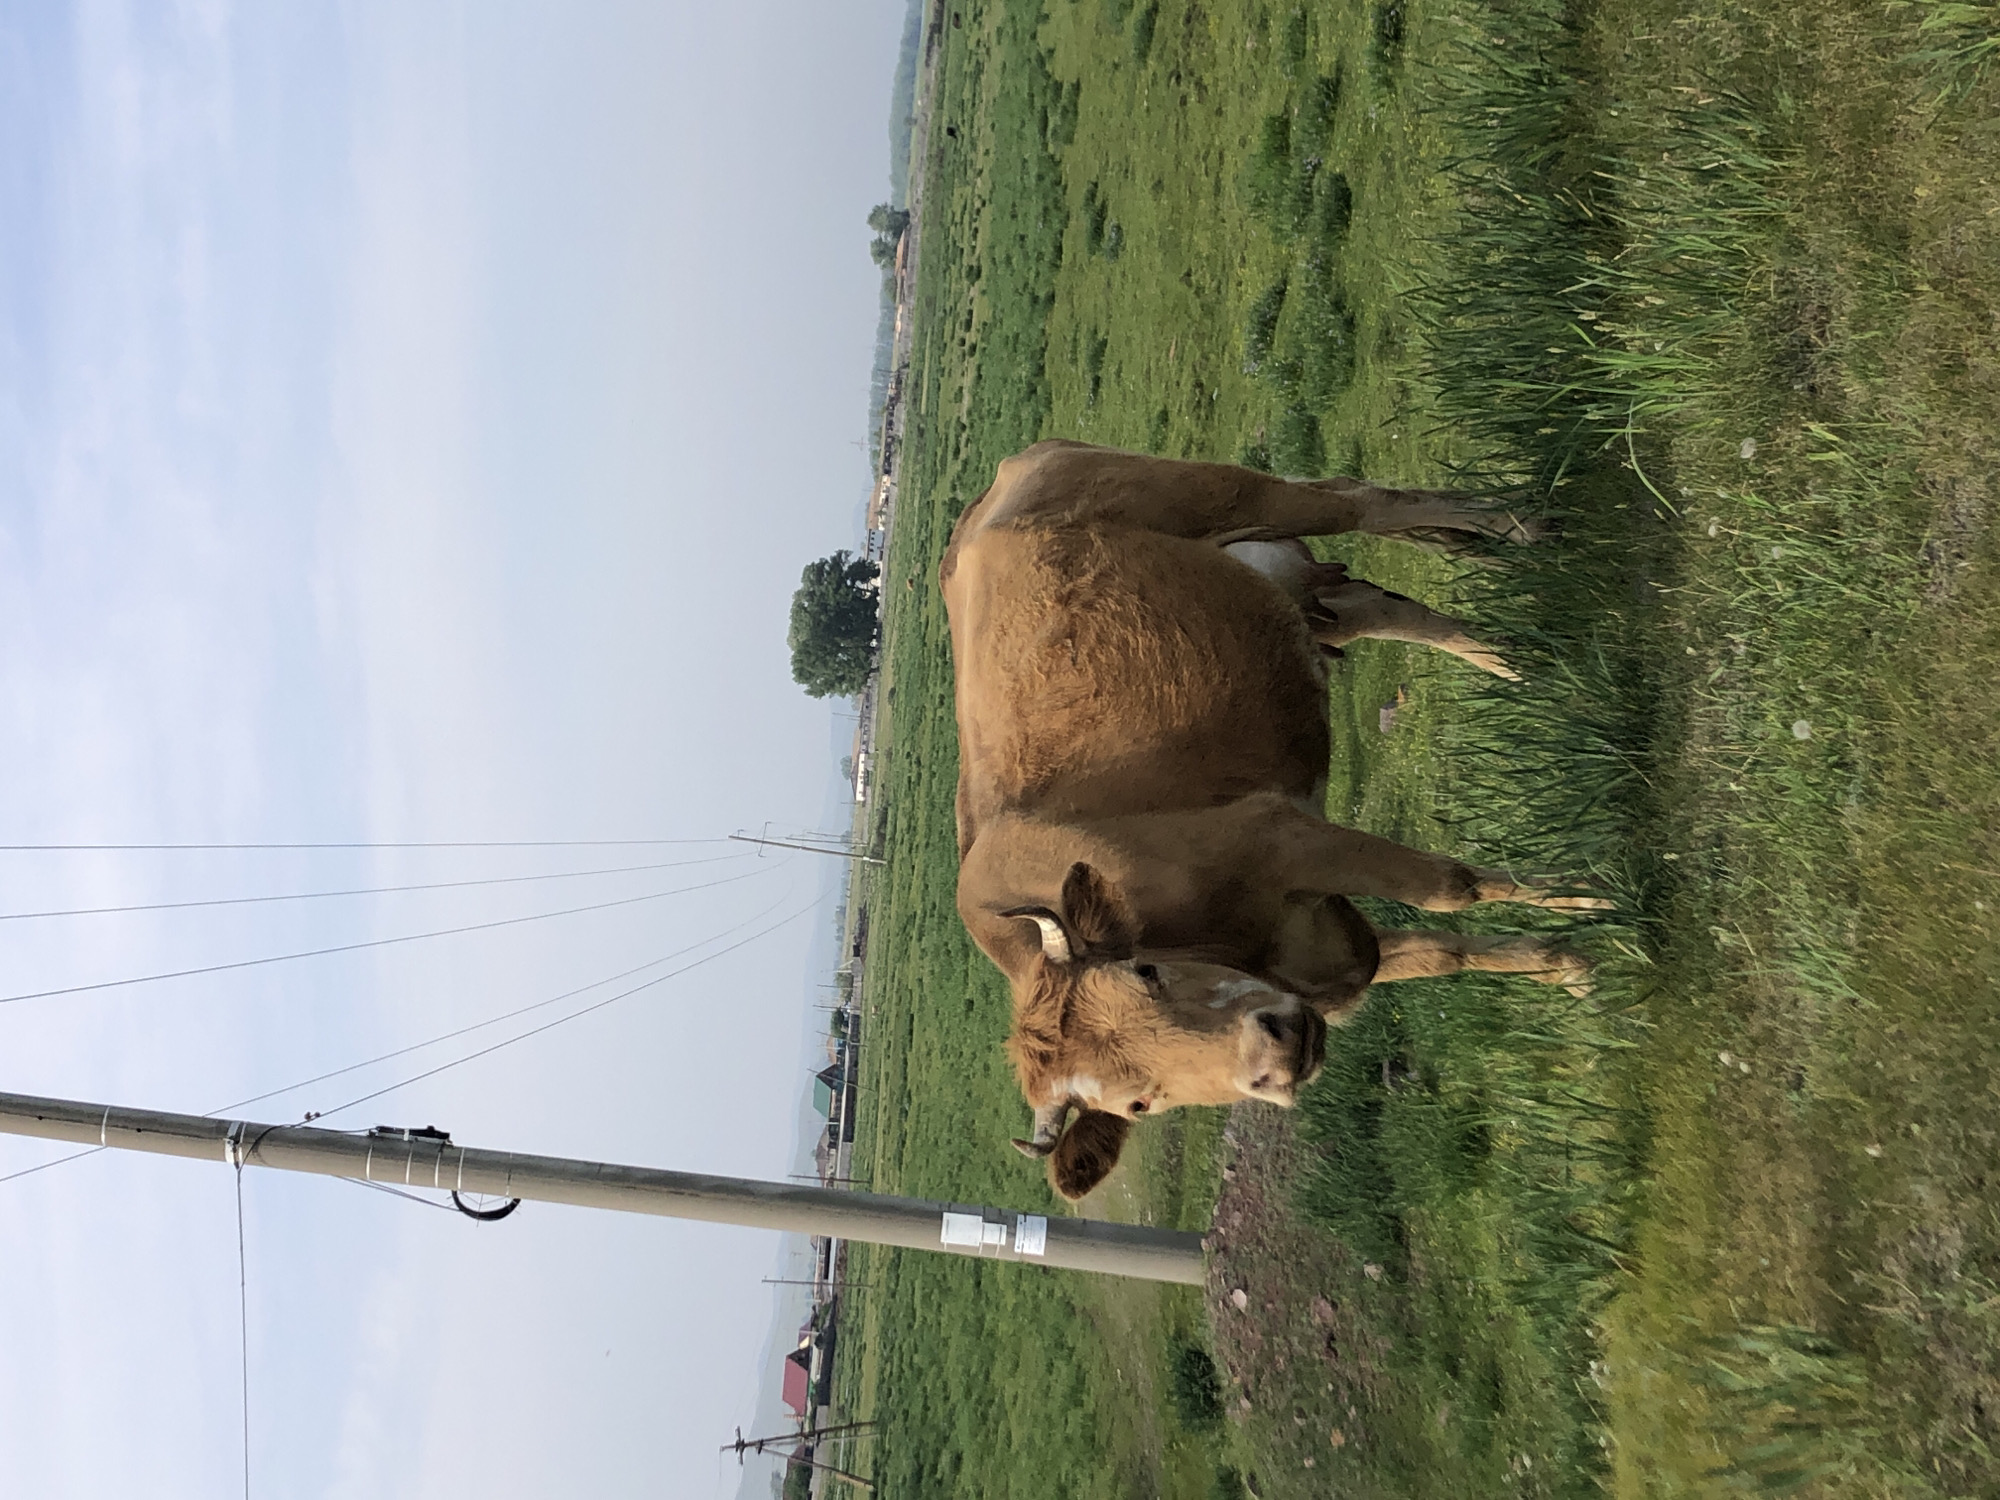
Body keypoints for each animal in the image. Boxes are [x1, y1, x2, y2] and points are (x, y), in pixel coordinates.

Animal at [940, 440, 1607, 1200]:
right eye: (1141, 1103)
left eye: (1147, 974)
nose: (1275, 1051)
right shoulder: (1330, 952)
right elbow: (1444, 950)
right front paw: (1565, 962)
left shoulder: (1290, 839)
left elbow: (1451, 887)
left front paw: (1585, 895)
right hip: (1294, 589)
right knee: (1385, 610)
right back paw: (1529, 662)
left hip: (1238, 496)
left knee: (1362, 503)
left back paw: (1518, 528)